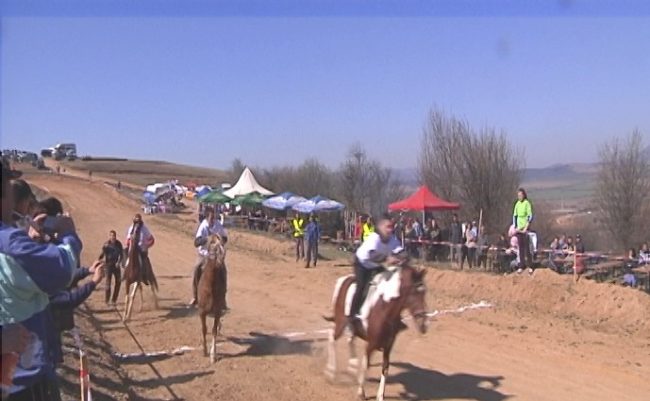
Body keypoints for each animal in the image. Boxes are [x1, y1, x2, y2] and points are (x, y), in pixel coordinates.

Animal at [324, 265, 428, 401]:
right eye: (414, 292)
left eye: (424, 292)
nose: (423, 324)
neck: (385, 307)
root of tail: (342, 280)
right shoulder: (371, 344)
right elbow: (365, 365)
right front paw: (361, 392)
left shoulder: (388, 345)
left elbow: (385, 368)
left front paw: (380, 396)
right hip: (341, 323)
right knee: (332, 337)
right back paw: (331, 371)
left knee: (350, 340)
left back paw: (352, 366)